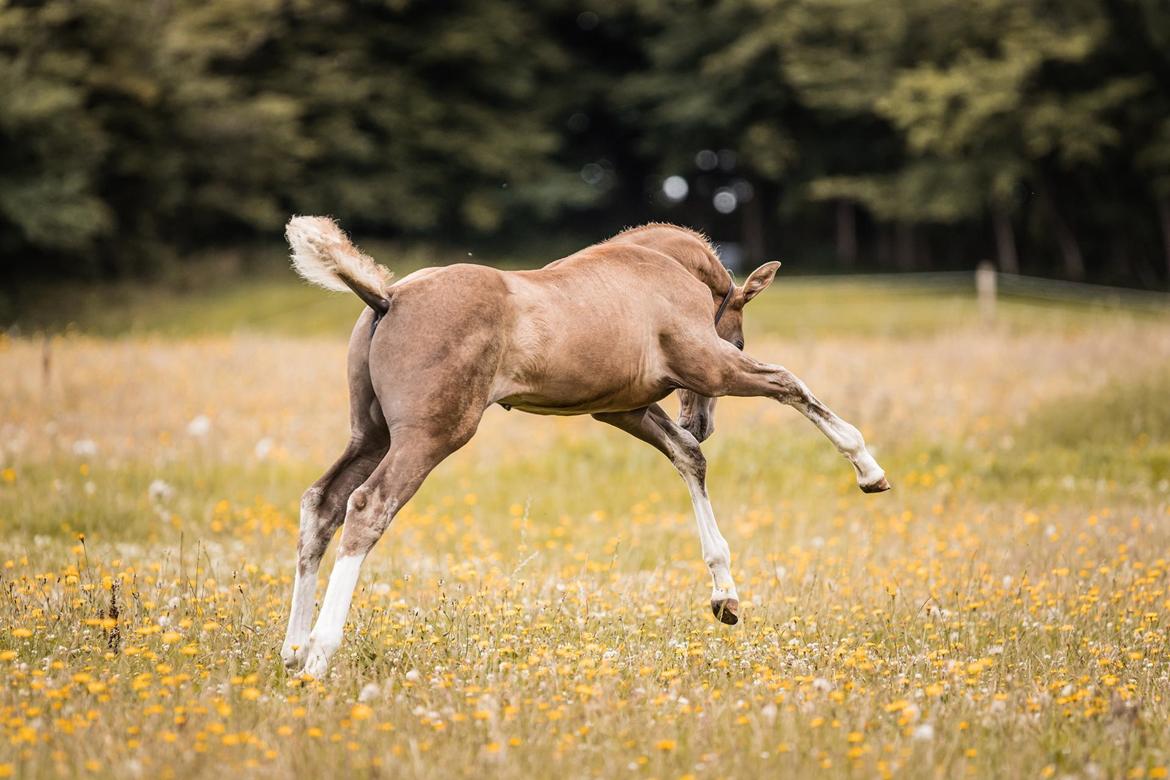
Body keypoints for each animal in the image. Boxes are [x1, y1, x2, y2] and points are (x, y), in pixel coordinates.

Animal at [280, 215, 884, 678]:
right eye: (735, 336)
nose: (700, 422)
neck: (658, 267)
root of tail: (389, 295)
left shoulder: (620, 407)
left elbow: (689, 458)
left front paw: (725, 597)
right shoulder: (709, 365)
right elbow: (789, 383)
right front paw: (867, 468)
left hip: (372, 434)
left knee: (321, 503)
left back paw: (293, 651)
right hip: (429, 435)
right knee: (367, 507)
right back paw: (320, 656)